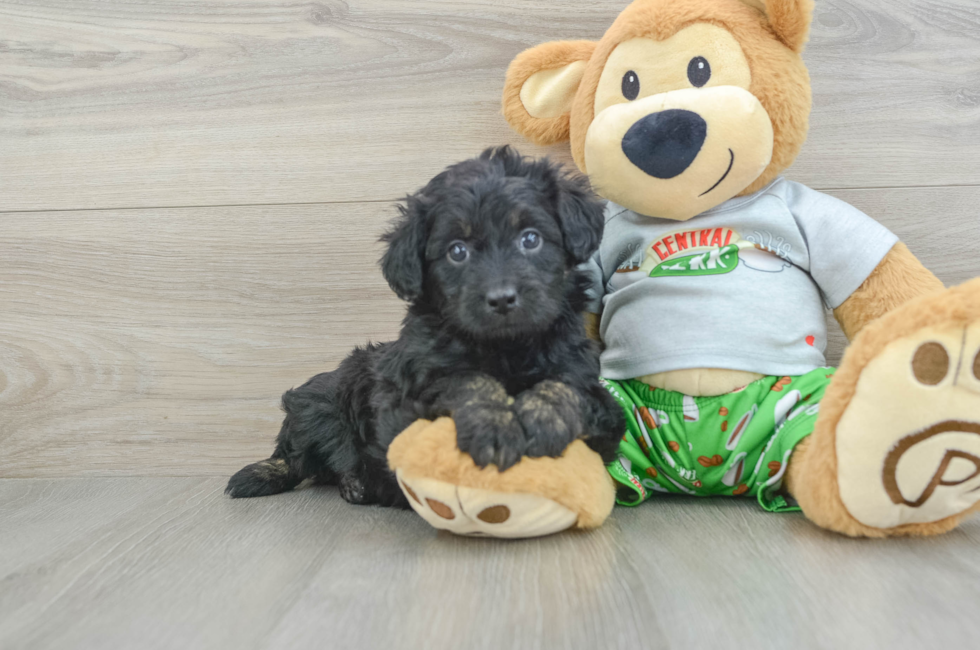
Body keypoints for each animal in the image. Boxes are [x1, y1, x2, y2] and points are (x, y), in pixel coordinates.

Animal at [227, 147, 624, 506]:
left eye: (530, 238)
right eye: (457, 251)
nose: (501, 299)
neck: (505, 346)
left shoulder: (595, 397)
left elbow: (569, 387)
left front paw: (545, 419)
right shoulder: (410, 394)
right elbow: (464, 379)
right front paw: (494, 427)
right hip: (319, 403)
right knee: (300, 457)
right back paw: (328, 479)